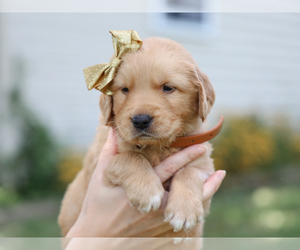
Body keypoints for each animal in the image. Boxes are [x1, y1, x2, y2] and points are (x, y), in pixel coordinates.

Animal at [57, 36, 214, 236]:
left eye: (168, 88)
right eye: (125, 89)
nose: (140, 120)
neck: (157, 147)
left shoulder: (205, 164)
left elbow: (189, 171)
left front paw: (184, 211)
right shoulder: (100, 165)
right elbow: (130, 157)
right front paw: (147, 191)